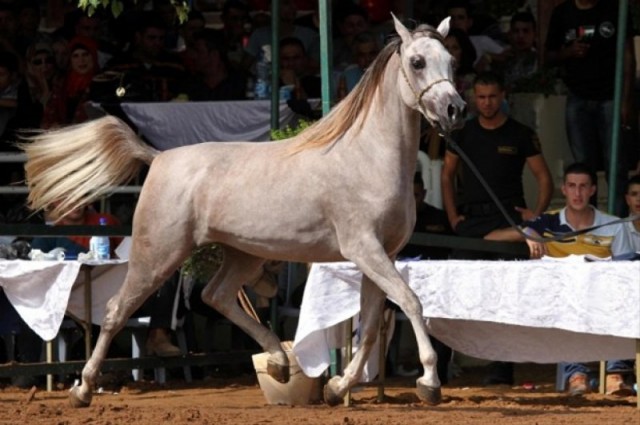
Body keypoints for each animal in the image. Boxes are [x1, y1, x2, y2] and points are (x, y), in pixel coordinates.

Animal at [21, 15, 464, 408]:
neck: (367, 156)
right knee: (117, 311)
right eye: (417, 62)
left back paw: (281, 363)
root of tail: (159, 157)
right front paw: (429, 383)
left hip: (243, 254)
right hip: (158, 254)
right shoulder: (364, 250)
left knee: (215, 295)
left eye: (452, 61)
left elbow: (371, 327)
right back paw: (82, 390)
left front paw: (338, 388)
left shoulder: (382, 255)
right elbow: (411, 302)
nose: (454, 110)